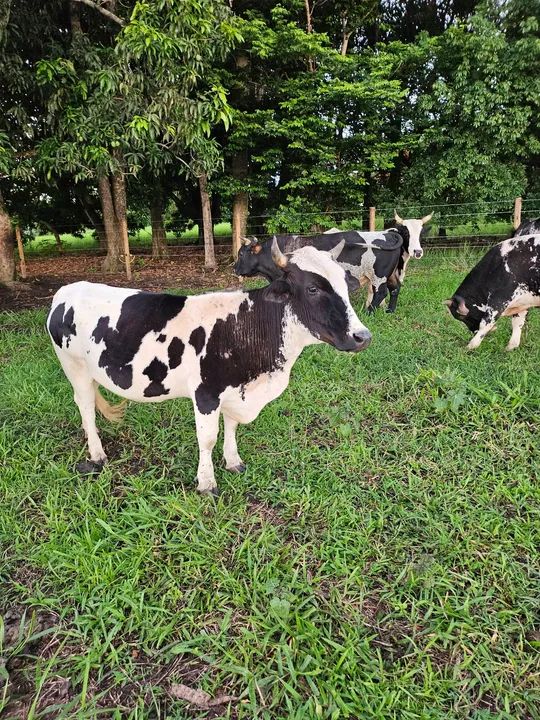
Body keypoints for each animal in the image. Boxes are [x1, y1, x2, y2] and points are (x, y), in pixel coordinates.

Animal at [47, 241, 372, 496]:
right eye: (313, 288)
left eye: (345, 286)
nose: (363, 336)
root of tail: (68, 289)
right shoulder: (206, 393)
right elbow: (208, 438)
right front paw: (206, 483)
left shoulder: (235, 389)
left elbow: (232, 426)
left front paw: (233, 461)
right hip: (74, 367)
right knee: (85, 406)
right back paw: (97, 455)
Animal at [234, 212, 432, 314]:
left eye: (242, 253)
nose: (234, 268)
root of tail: (388, 234)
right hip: (389, 274)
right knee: (395, 289)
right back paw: (389, 311)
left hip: (379, 275)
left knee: (381, 292)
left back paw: (368, 312)